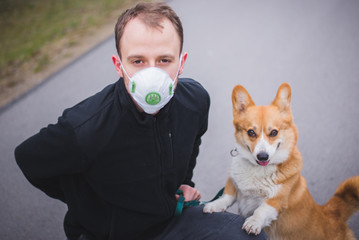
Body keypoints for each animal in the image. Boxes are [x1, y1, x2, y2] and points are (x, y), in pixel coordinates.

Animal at [204, 83, 358, 240]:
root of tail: (334, 213)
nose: (263, 157)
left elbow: (262, 210)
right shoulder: (233, 183)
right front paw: (214, 205)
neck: (257, 169)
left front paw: (253, 222)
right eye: (251, 132)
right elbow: (227, 195)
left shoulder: (276, 201)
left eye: (274, 132)